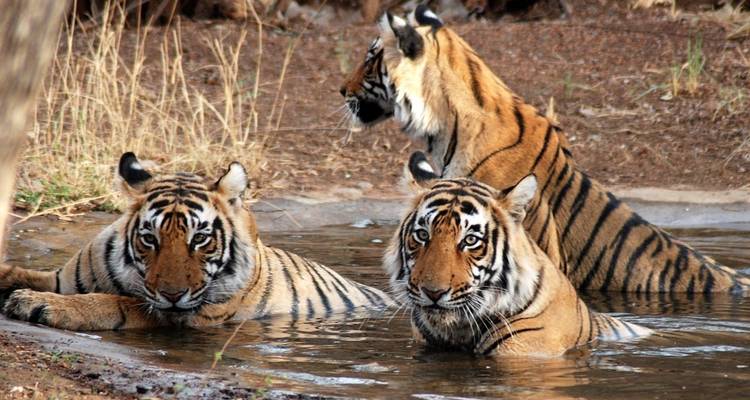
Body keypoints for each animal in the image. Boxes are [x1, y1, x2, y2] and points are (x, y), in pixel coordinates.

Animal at [0, 153, 392, 331]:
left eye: (200, 239)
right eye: (149, 239)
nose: (173, 294)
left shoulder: (181, 314)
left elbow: (114, 302)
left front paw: (37, 304)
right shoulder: (61, 278)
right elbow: (21, 272)